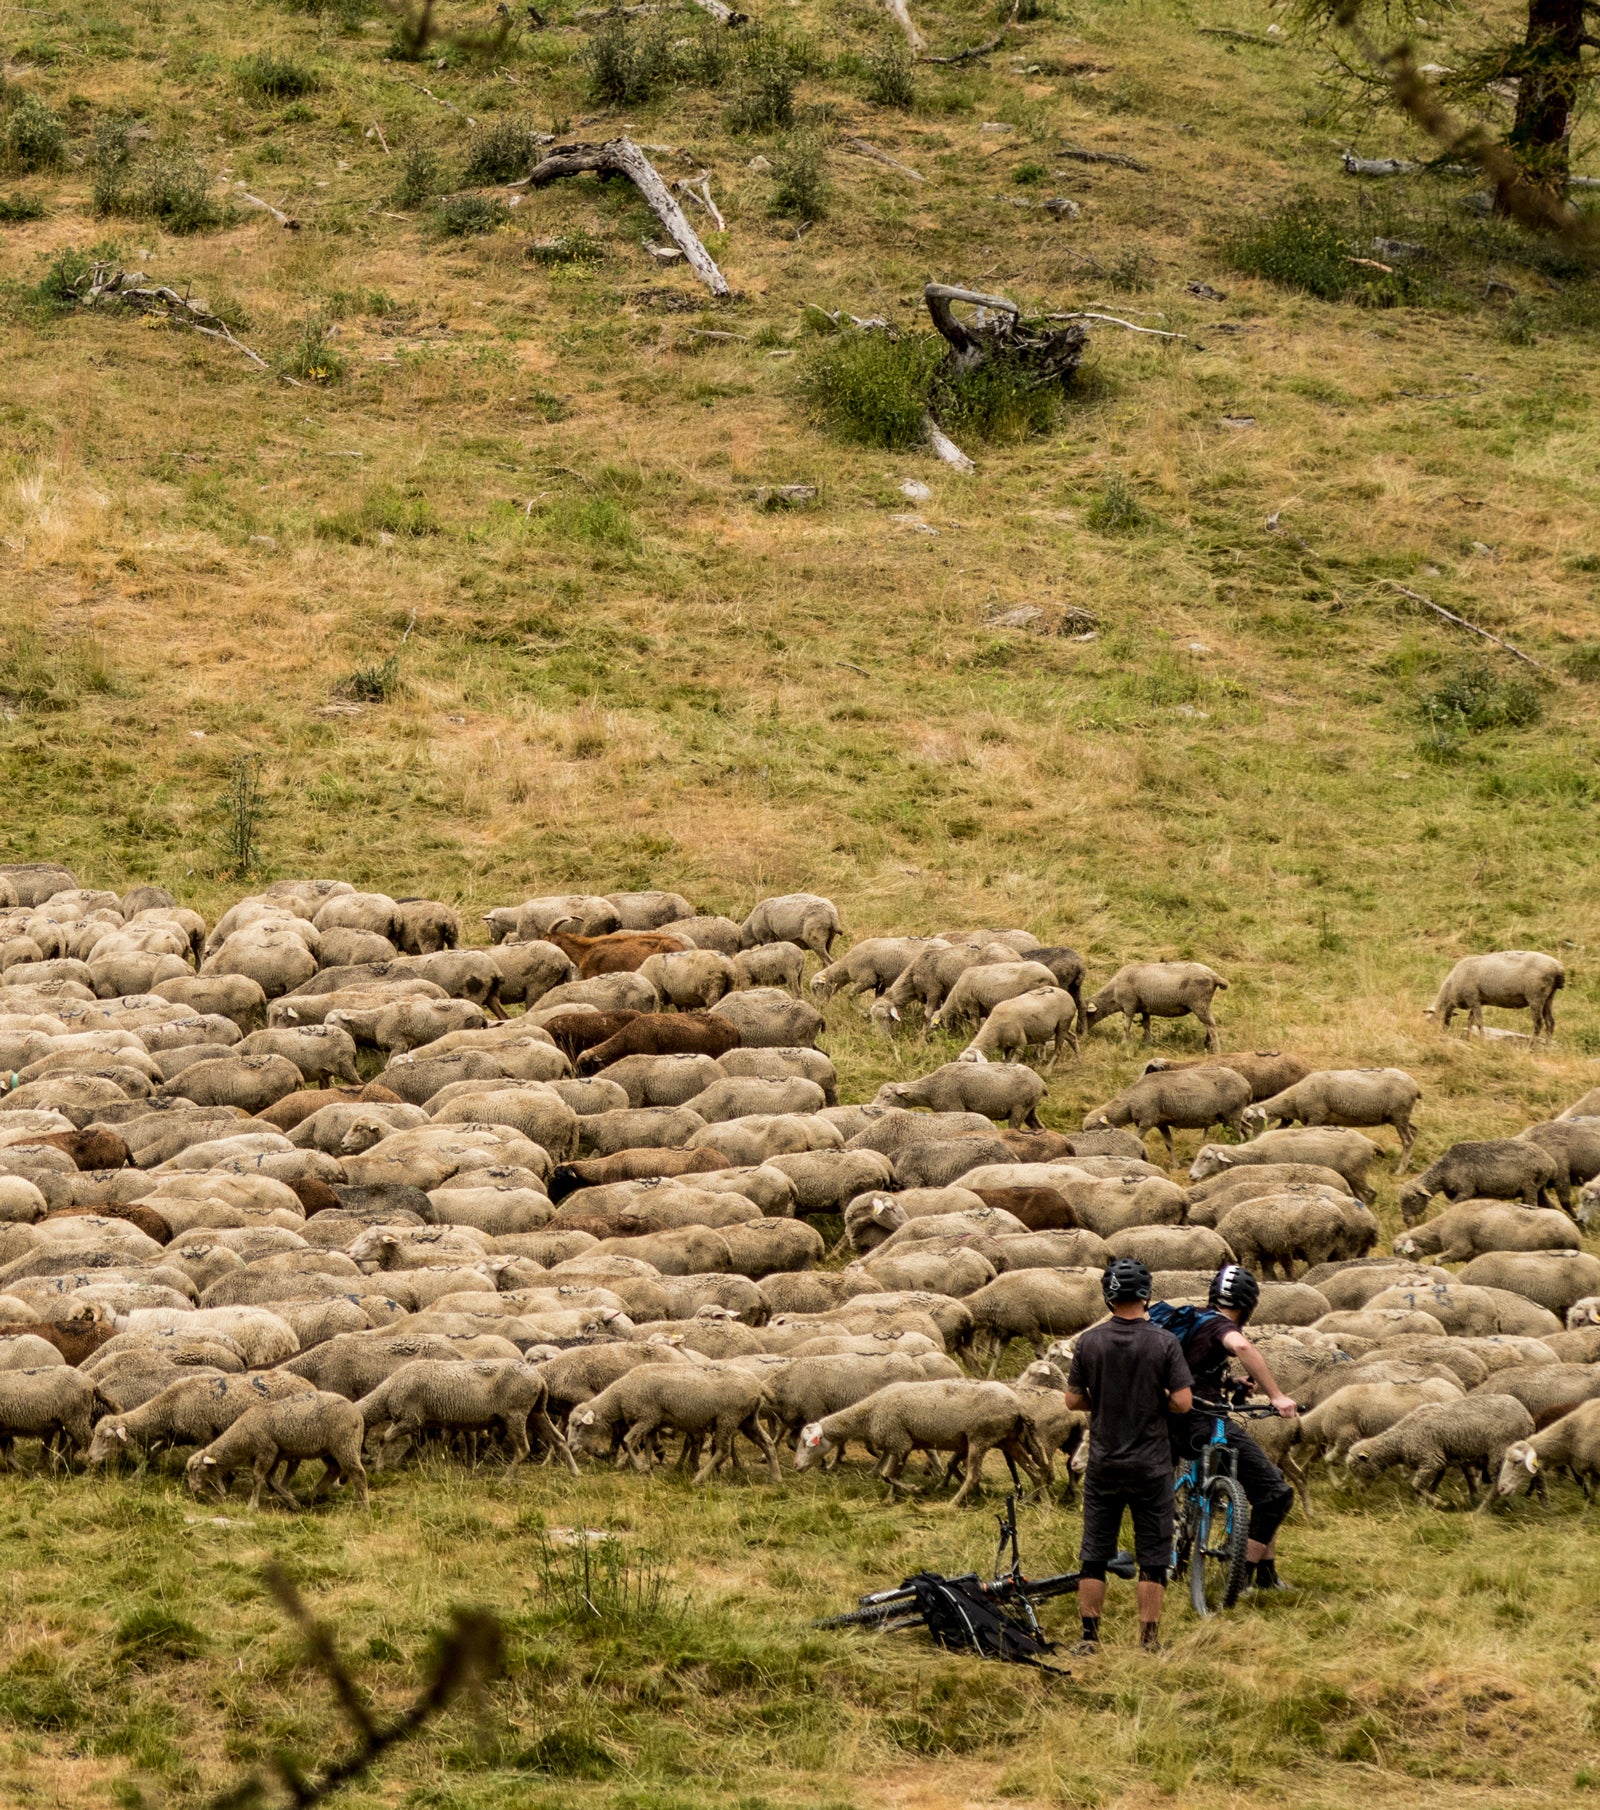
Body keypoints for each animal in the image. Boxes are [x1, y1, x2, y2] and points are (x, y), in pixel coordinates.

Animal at [185, 1382, 369, 1513]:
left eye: (195, 1468)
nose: (193, 1490)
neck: (242, 1436)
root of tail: (357, 1413)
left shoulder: (266, 1451)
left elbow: (258, 1478)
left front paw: (252, 1506)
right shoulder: (275, 1454)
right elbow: (271, 1480)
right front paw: (292, 1502)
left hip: (345, 1443)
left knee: (357, 1473)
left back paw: (363, 1507)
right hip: (328, 1449)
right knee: (333, 1470)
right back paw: (312, 1495)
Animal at [1078, 1057, 1259, 1158]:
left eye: (1094, 1128)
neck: (1129, 1102)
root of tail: (1246, 1084)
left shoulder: (1147, 1120)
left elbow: (1138, 1139)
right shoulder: (1161, 1122)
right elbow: (1169, 1145)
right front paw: (1175, 1166)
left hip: (1232, 1113)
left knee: (1237, 1135)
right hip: (1229, 1115)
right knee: (1247, 1128)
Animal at [1346, 1390, 1534, 1505]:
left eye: (1356, 1468)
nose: (1359, 1491)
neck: (1400, 1439)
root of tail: (1528, 1418)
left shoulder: (1430, 1458)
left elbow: (1416, 1485)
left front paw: (1438, 1502)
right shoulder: (1444, 1458)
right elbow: (1436, 1482)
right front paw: (1425, 1503)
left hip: (1500, 1450)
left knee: (1498, 1483)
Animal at [1397, 1136, 1563, 1223]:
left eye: (1413, 1198)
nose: (1406, 1220)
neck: (1445, 1169)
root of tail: (1551, 1164)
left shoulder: (1466, 1190)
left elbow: (1448, 1209)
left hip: (1530, 1187)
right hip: (1539, 1189)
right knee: (1552, 1207)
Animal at [1426, 955, 1563, 1042]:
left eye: (1429, 1021)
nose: (1434, 1035)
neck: (1451, 986)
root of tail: (1558, 968)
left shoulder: (1472, 998)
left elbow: (1479, 1022)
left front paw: (1482, 1040)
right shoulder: (1477, 1001)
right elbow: (1470, 1021)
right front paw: (1468, 1038)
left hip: (1535, 996)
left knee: (1538, 1023)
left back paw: (1530, 1047)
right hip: (1548, 998)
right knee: (1550, 1023)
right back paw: (1547, 1047)